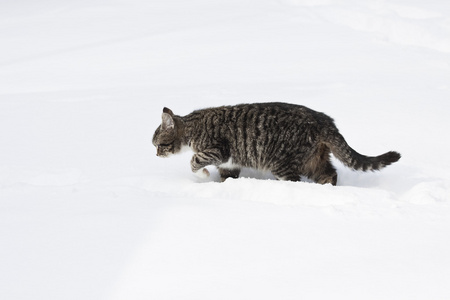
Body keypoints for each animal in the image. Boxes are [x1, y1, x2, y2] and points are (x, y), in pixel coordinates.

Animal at [152, 102, 400, 184]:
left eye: (158, 145)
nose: (155, 155)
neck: (192, 128)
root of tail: (324, 120)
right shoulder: (229, 164)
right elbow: (226, 178)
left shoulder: (218, 150)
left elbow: (194, 161)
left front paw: (202, 174)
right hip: (315, 160)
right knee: (330, 174)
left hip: (282, 163)